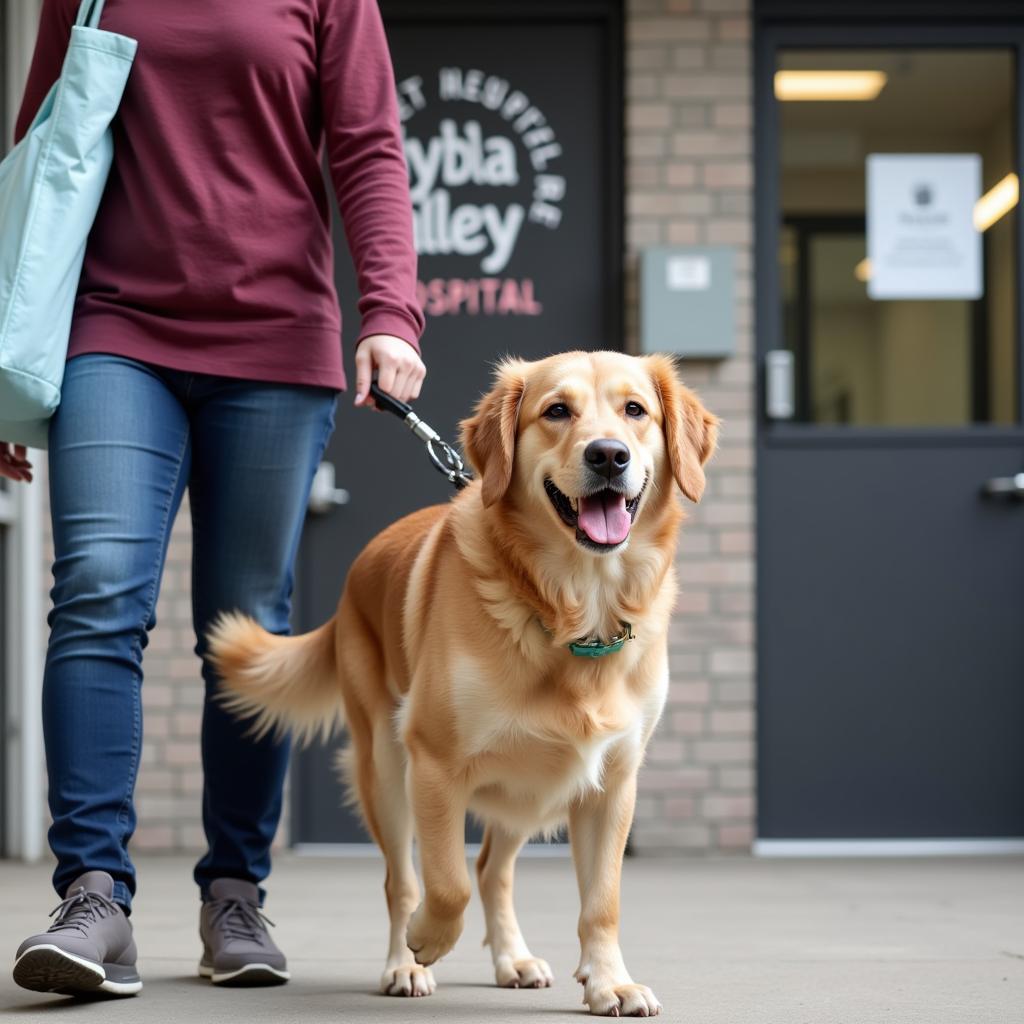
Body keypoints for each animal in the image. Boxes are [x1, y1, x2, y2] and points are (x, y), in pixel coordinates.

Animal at [209, 352, 712, 1015]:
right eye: (557, 411)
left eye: (635, 410)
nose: (609, 455)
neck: (574, 611)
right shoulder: (434, 762)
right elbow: (443, 883)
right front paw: (426, 938)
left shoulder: (614, 782)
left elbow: (600, 902)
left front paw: (610, 982)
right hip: (385, 769)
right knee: (403, 879)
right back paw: (402, 963)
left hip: (527, 787)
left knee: (492, 870)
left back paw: (513, 958)